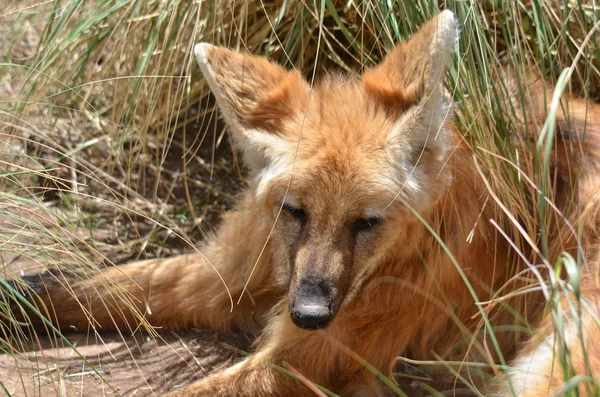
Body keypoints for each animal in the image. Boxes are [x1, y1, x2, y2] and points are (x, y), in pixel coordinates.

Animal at [7, 9, 600, 396]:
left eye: (367, 222)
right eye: (295, 212)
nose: (309, 313)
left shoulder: (312, 357)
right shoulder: (228, 270)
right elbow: (69, 286)